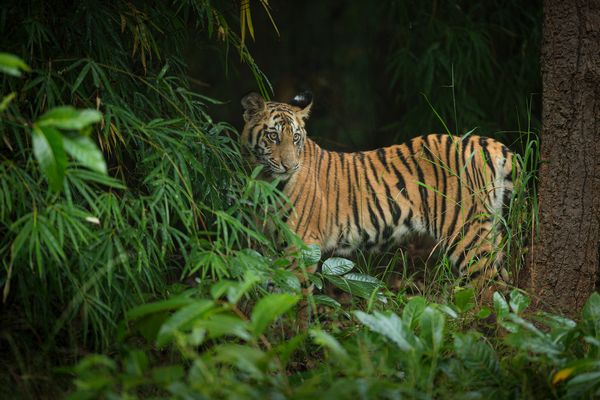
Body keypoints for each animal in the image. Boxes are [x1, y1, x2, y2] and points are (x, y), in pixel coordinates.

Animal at [241, 90, 516, 284]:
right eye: (273, 136)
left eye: (296, 138)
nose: (290, 166)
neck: (263, 180)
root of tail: (485, 143)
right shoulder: (265, 245)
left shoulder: (300, 247)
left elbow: (293, 297)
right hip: (489, 230)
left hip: (466, 236)